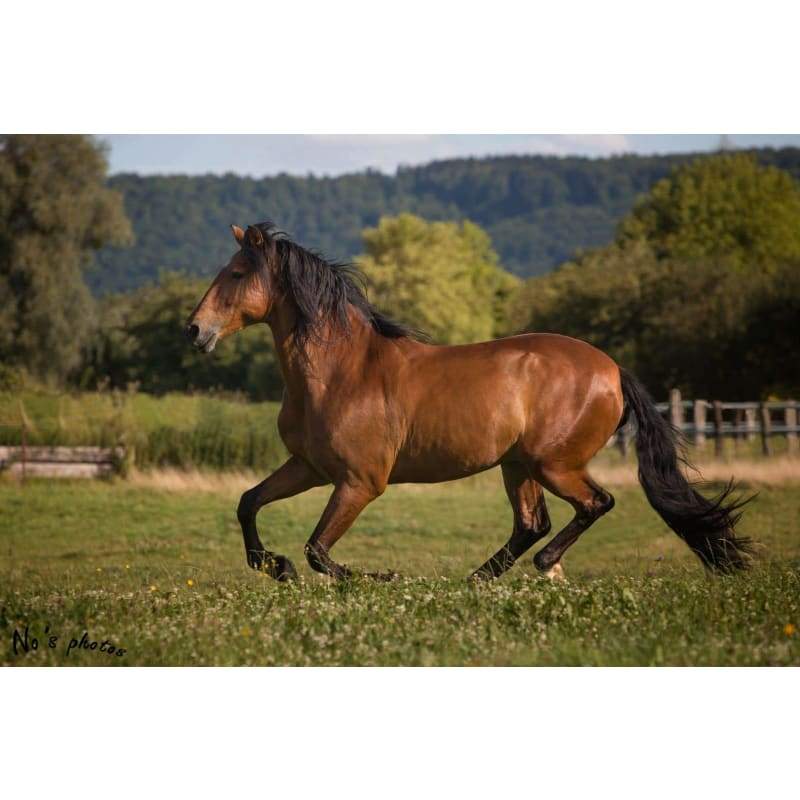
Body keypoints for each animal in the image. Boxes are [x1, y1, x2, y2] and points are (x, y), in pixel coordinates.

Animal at [185, 222, 753, 582]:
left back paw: (539, 566)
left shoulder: (359, 483)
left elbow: (318, 551)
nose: (194, 329)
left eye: (237, 274)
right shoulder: (308, 467)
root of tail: (612, 369)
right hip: (518, 465)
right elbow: (249, 503)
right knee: (532, 523)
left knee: (594, 505)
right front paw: (274, 567)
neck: (340, 371)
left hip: (554, 463)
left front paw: (384, 577)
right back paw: (478, 579)